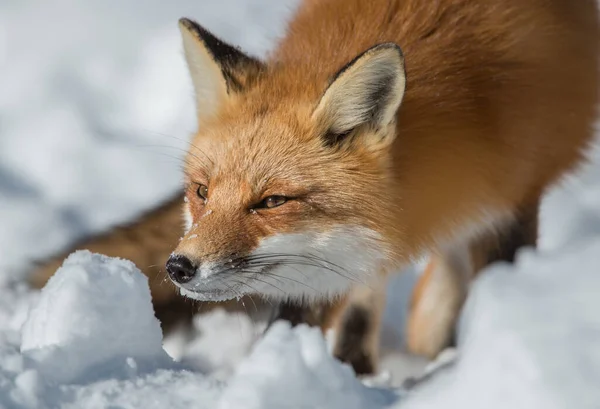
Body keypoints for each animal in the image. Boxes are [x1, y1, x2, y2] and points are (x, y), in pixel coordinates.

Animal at [31, 0, 596, 376]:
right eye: (202, 192)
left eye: (272, 202)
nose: (179, 267)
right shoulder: (341, 258)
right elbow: (324, 314)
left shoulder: (512, 202)